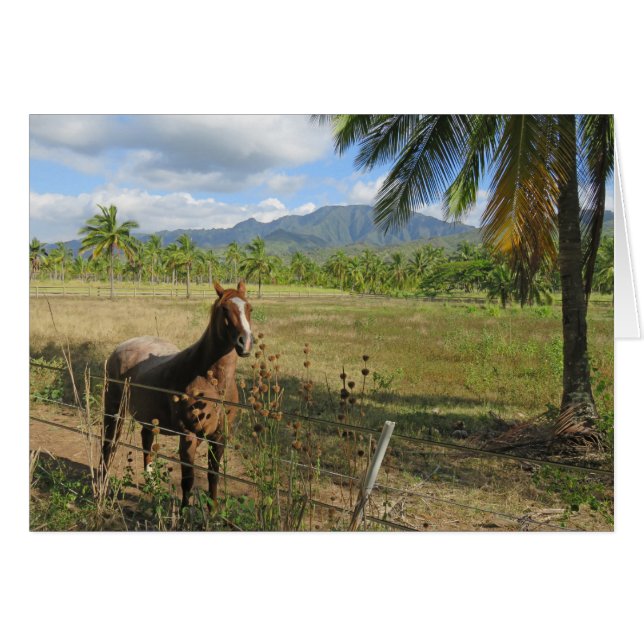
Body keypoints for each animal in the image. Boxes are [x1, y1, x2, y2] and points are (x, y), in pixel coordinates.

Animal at [101, 281, 253, 508]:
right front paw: (183, 512)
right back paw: (102, 481)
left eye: (249, 308)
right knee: (109, 443)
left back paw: (151, 484)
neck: (212, 381)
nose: (245, 343)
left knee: (146, 440)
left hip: (149, 417)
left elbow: (213, 476)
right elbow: (188, 480)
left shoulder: (219, 437)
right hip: (114, 409)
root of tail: (121, 347)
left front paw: (213, 511)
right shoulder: (188, 435)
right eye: (225, 309)